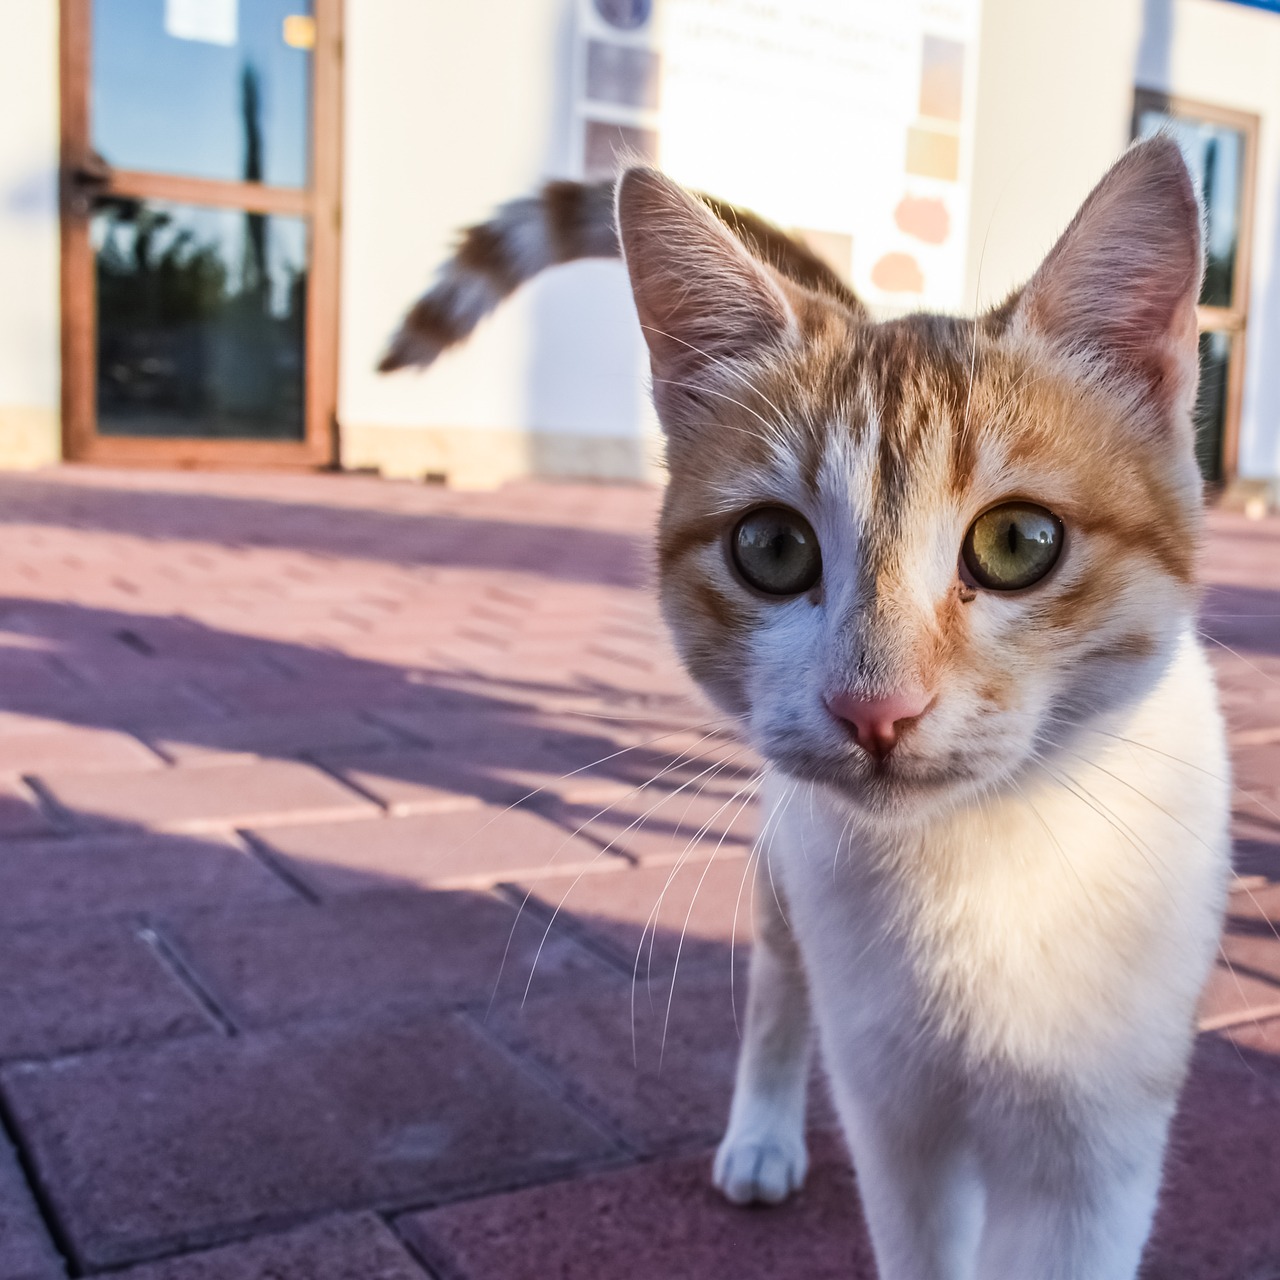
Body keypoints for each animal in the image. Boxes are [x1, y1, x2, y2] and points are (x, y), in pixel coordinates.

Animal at [381, 135, 1228, 1274]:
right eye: (772, 549)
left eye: (1019, 542)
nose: (875, 705)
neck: (969, 862)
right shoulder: (894, 1114)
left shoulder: (1091, 1151)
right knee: (779, 989)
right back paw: (762, 1131)